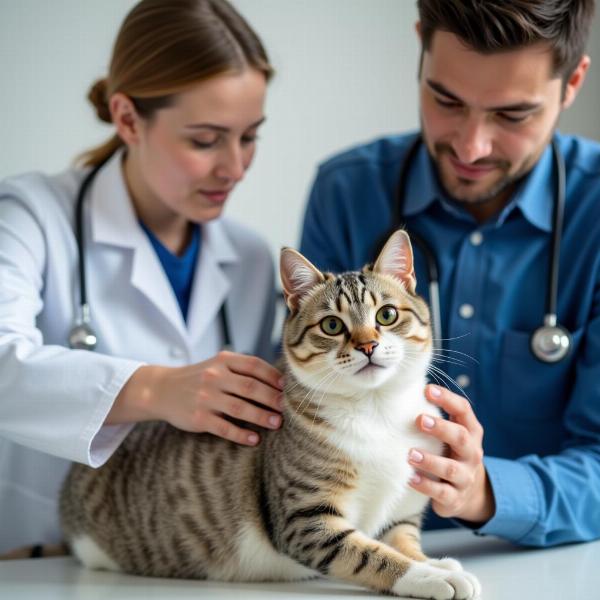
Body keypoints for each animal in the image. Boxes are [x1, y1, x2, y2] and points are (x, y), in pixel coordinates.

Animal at [61, 231, 480, 600]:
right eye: (332, 325)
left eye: (387, 314)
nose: (368, 345)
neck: (377, 410)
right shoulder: (305, 519)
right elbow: (370, 555)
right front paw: (428, 576)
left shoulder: (402, 506)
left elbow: (400, 540)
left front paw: (434, 562)